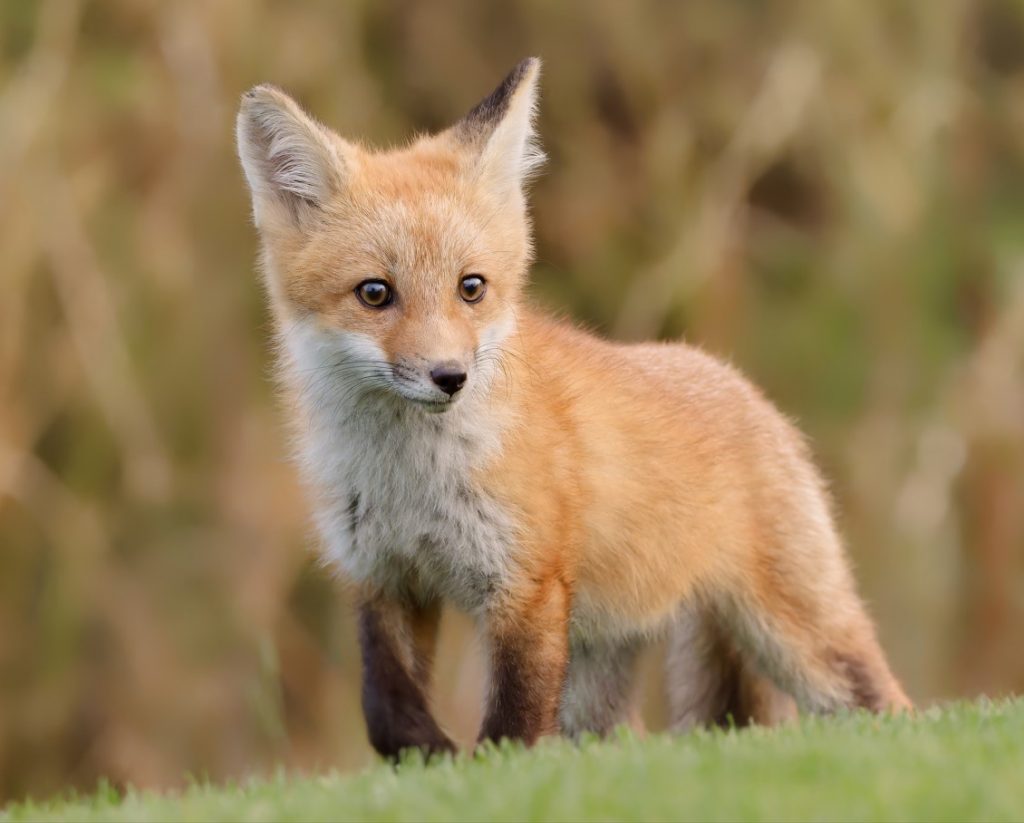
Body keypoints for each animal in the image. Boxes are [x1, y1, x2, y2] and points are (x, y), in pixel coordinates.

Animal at [237, 57, 913, 757]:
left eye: (471, 288)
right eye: (375, 293)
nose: (450, 377)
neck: (410, 482)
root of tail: (738, 382)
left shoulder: (526, 583)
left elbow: (514, 727)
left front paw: (487, 767)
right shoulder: (382, 577)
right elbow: (386, 711)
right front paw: (432, 755)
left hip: (800, 636)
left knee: (890, 703)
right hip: (601, 676)